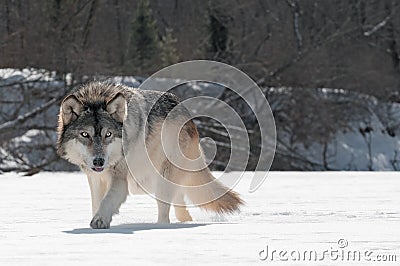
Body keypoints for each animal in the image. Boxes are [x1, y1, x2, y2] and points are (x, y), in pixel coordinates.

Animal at [56, 82, 244, 229]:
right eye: (85, 134)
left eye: (108, 134)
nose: (99, 161)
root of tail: (189, 117)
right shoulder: (95, 178)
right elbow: (97, 202)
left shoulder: (119, 178)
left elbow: (107, 200)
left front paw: (100, 220)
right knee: (180, 203)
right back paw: (185, 221)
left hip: (161, 180)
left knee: (165, 211)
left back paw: (161, 227)